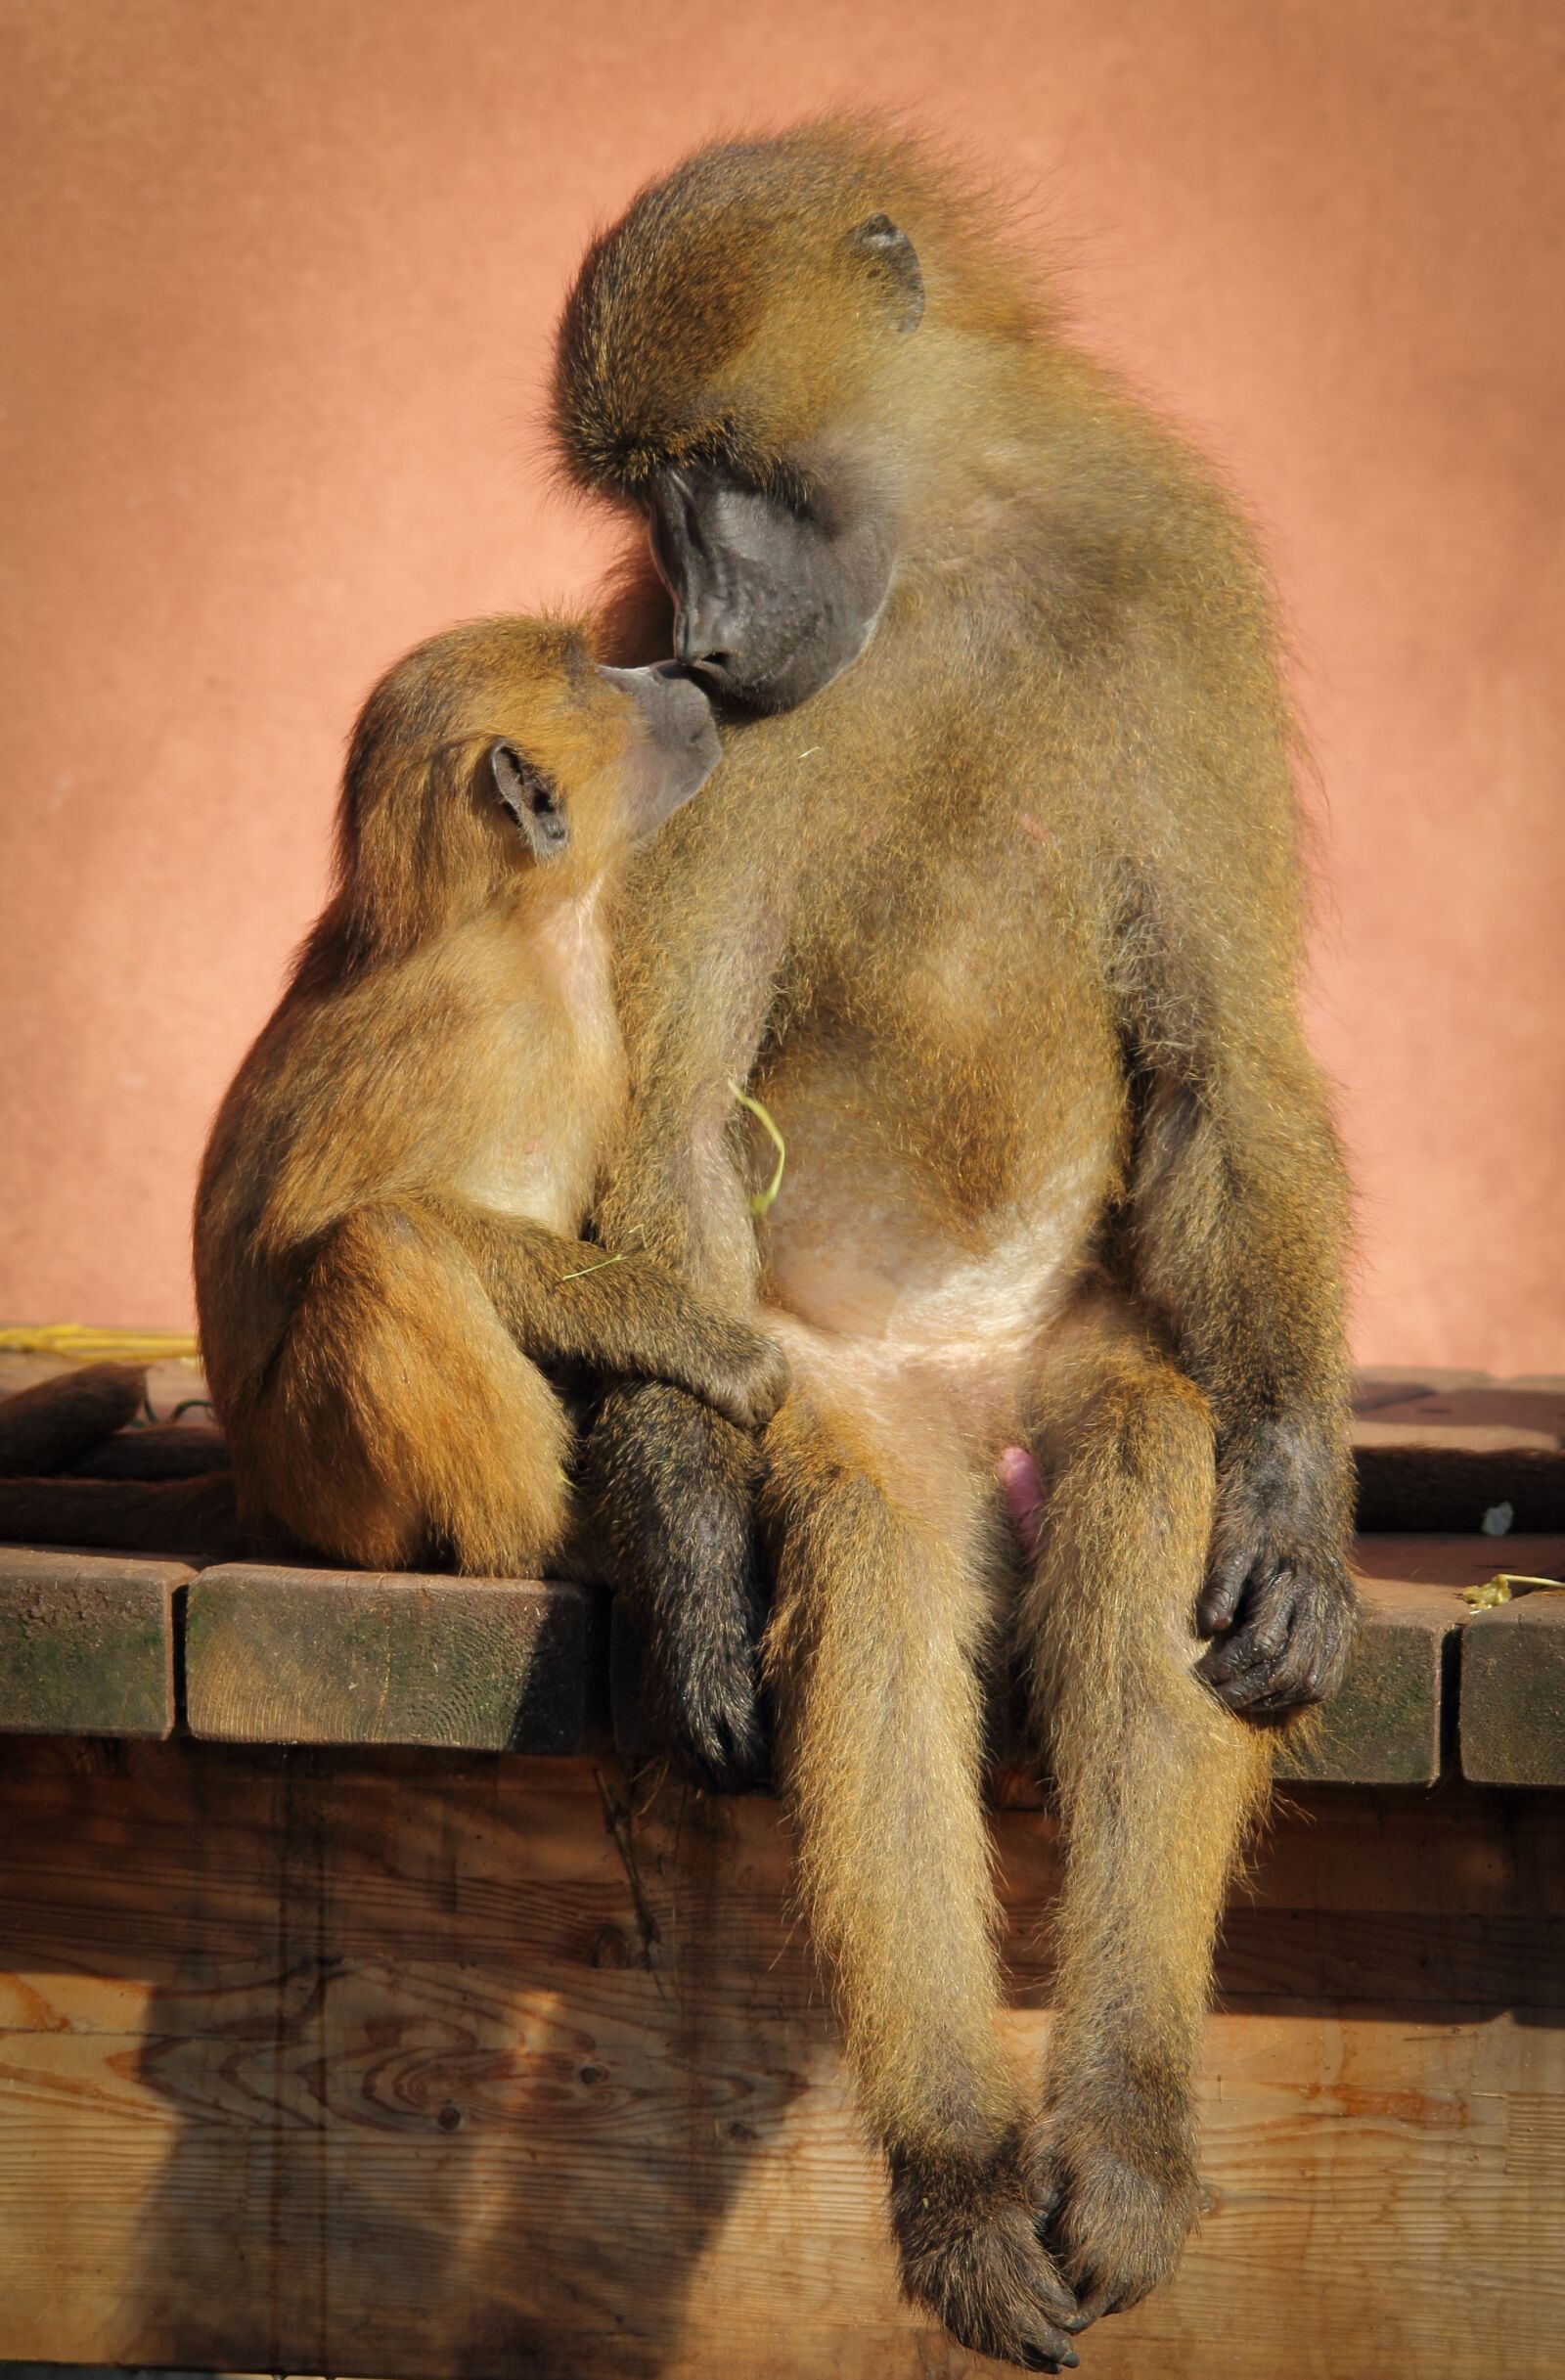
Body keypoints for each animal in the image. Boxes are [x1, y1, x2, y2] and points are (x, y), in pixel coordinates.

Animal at [0, 616, 785, 1570]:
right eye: (591, 674)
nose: (680, 670)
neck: (516, 918)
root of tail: (255, 1496)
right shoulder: (469, 1024)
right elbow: (327, 1219)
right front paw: (711, 1347)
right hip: (324, 1484)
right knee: (387, 1244)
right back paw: (545, 1541)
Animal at [549, 122, 1358, 2366]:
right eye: (643, 494)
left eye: (719, 462)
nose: (704, 618)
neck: (939, 561)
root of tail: (966, 1376)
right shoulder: (677, 734)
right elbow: (664, 1124)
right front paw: (690, 1578)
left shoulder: (1169, 582)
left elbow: (1214, 1063)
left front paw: (1293, 1501)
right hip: (840, 1395)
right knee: (880, 1555)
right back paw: (960, 2179)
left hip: (1066, 1360)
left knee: (1140, 1467)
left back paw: (1124, 2135)